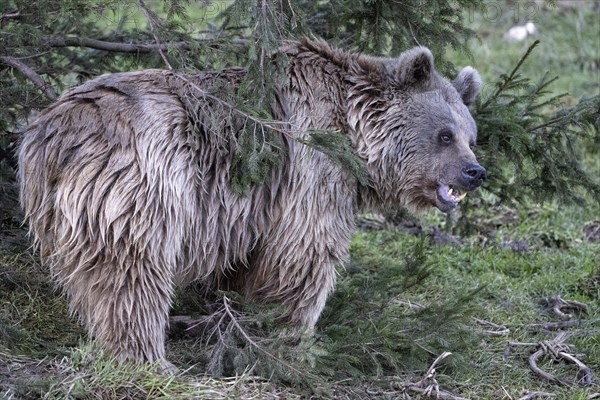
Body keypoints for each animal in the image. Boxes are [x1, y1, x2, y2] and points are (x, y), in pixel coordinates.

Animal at [18, 39, 486, 370]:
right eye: (444, 134)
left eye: (471, 136)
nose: (474, 172)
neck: (356, 139)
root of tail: (55, 132)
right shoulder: (312, 169)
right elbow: (303, 253)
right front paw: (293, 335)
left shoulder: (248, 209)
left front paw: (233, 319)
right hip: (143, 181)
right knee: (133, 267)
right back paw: (148, 357)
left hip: (59, 206)